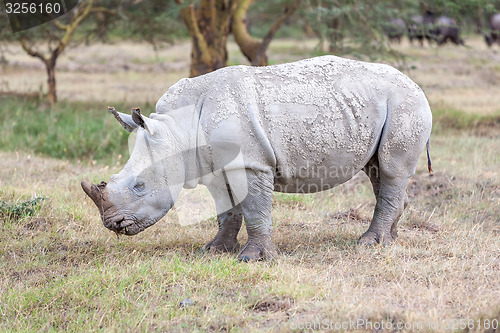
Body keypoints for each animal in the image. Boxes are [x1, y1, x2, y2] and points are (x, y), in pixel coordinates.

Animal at [80, 55, 432, 260]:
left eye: (139, 186)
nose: (113, 224)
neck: (176, 130)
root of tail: (416, 85)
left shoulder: (251, 162)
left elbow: (254, 208)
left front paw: (253, 258)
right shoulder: (214, 165)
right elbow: (227, 211)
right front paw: (214, 250)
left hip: (406, 104)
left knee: (391, 169)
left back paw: (369, 244)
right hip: (388, 106)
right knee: (378, 172)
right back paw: (390, 239)